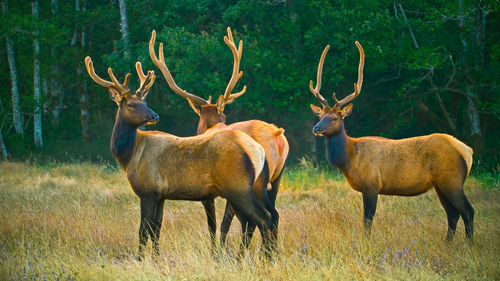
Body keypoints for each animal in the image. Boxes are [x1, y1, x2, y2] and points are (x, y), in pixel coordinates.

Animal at [83, 55, 276, 258]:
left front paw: (140, 258)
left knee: (261, 218)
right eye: (132, 104)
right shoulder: (160, 195)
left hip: (238, 187)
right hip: (254, 187)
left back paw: (261, 257)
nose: (154, 115)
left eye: (144, 103)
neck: (129, 155)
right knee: (261, 219)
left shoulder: (148, 190)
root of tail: (258, 150)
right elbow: (156, 229)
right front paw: (156, 257)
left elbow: (143, 230)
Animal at [148, 27, 290, 247]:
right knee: (272, 216)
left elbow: (215, 225)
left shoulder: (211, 192)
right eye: (225, 115)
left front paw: (217, 250)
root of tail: (277, 134)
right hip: (275, 178)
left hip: (249, 183)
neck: (210, 125)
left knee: (255, 220)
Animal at [306, 42, 474, 242]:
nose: (316, 128)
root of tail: (467, 151)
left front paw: (367, 242)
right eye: (320, 116)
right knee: (452, 214)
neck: (349, 158)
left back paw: (469, 244)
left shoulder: (372, 184)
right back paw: (448, 243)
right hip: (440, 184)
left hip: (452, 180)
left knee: (467, 210)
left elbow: (367, 220)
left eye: (334, 118)